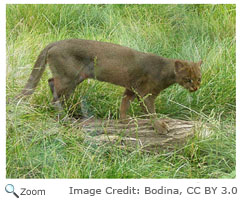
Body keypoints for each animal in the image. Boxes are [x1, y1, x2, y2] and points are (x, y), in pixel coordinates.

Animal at [19, 39, 202, 134]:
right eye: (188, 79)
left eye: (199, 79)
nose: (195, 88)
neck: (166, 71)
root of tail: (56, 42)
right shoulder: (145, 94)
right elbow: (151, 112)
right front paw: (160, 127)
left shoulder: (131, 88)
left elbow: (124, 103)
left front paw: (124, 120)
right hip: (69, 79)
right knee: (54, 97)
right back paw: (65, 117)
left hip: (74, 78)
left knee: (51, 82)